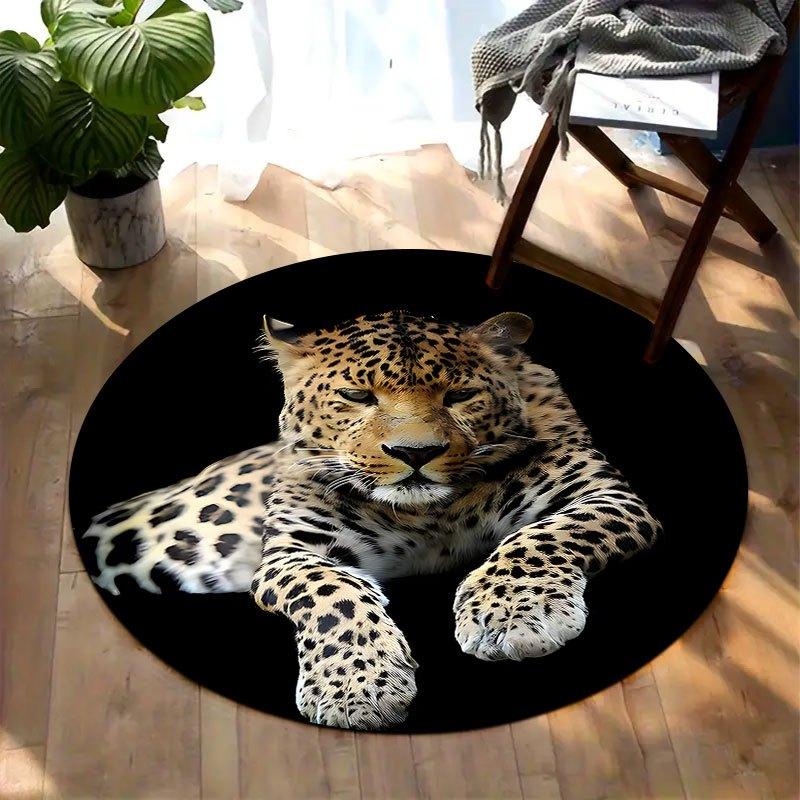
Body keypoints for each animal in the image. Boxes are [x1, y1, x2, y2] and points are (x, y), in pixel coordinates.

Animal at [83, 310, 661, 730]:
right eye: (357, 396)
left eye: (459, 395)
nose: (415, 453)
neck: (431, 515)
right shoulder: (291, 551)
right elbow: (331, 593)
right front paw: (357, 689)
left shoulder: (603, 493)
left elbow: (540, 538)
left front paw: (513, 617)